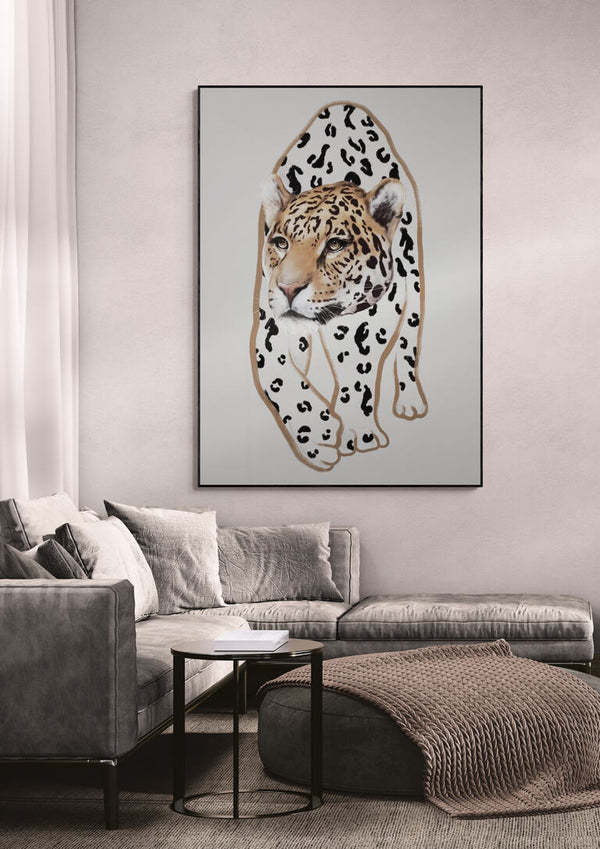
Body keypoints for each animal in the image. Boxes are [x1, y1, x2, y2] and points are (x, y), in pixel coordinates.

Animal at [250, 101, 427, 472]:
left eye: (335, 245)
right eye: (280, 243)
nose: (288, 288)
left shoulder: (370, 323)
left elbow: (358, 378)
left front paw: (358, 433)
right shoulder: (270, 328)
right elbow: (280, 377)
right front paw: (317, 432)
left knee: (407, 346)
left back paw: (410, 401)